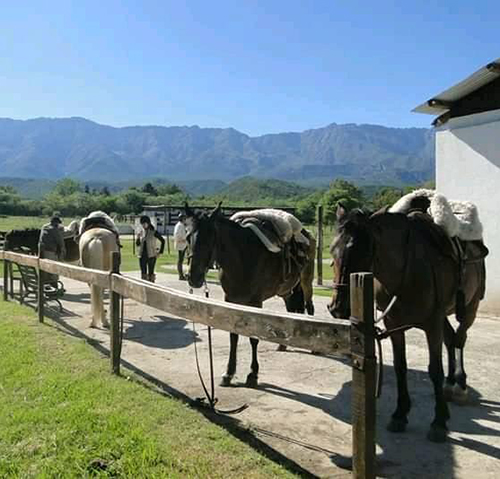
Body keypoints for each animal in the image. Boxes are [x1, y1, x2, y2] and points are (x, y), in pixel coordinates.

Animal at [186, 204, 314, 388]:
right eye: (187, 236)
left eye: (210, 238)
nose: (193, 277)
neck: (243, 257)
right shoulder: (231, 300)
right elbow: (233, 336)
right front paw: (229, 373)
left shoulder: (255, 302)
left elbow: (254, 338)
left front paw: (253, 374)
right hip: (286, 290)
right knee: (291, 309)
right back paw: (282, 345)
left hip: (306, 281)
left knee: (310, 306)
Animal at [330, 204, 486, 444]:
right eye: (332, 250)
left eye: (365, 252)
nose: (338, 307)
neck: (409, 269)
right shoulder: (394, 324)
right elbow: (400, 367)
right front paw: (400, 414)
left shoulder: (432, 324)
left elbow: (434, 370)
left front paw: (439, 422)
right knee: (451, 340)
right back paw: (450, 384)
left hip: (470, 308)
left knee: (460, 339)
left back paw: (459, 385)